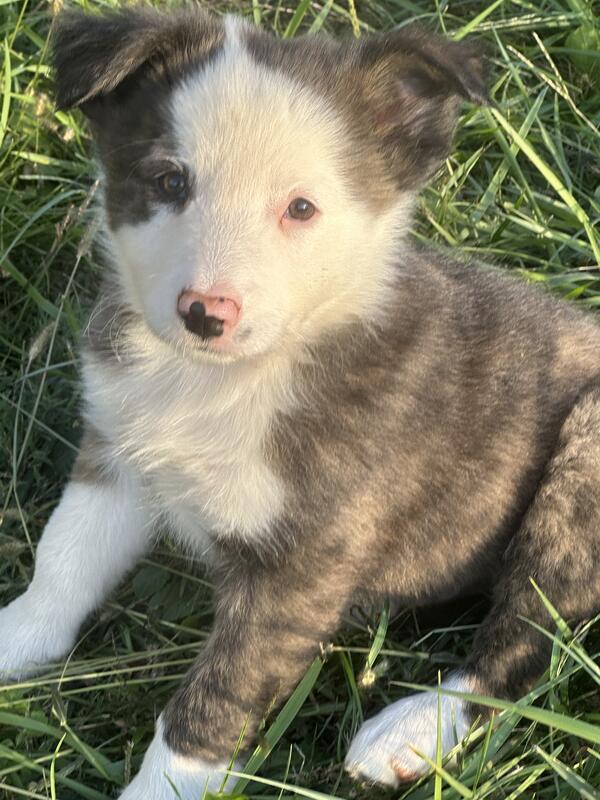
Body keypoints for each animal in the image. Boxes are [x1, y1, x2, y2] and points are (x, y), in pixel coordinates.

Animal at [1, 5, 599, 798]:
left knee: (530, 634)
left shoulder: (301, 566)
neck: (226, 379)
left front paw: (160, 784)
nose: (206, 313)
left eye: (301, 208)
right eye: (168, 181)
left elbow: (213, 701)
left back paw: (411, 728)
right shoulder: (120, 454)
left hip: (582, 458)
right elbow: (63, 560)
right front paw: (15, 638)